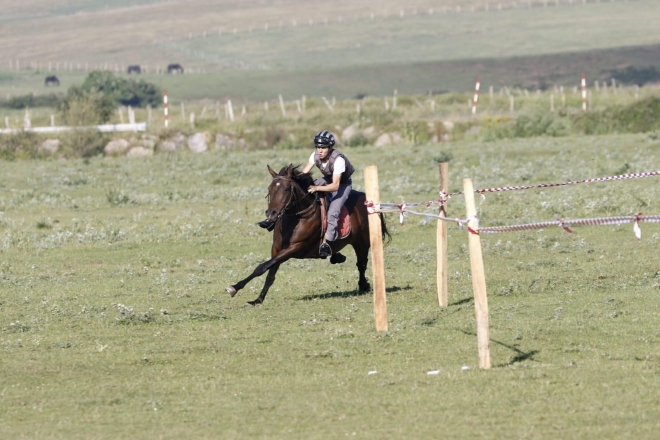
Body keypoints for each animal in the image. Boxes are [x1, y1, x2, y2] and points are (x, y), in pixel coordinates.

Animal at [226, 164, 389, 305]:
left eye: (286, 189)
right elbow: (269, 272)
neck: (296, 217)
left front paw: (234, 287)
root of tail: (367, 201)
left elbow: (262, 266)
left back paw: (363, 285)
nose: (271, 214)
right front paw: (257, 299)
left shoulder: (294, 248)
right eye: (270, 188)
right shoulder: (276, 248)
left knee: (361, 264)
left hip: (361, 243)